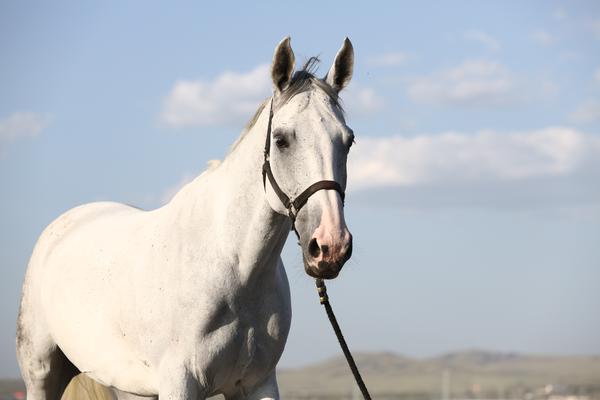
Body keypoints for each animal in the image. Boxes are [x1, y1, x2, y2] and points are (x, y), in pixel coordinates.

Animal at [16, 37, 356, 400]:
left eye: (348, 141)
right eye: (281, 139)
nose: (331, 246)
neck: (233, 268)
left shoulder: (258, 382)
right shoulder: (180, 383)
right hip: (41, 374)